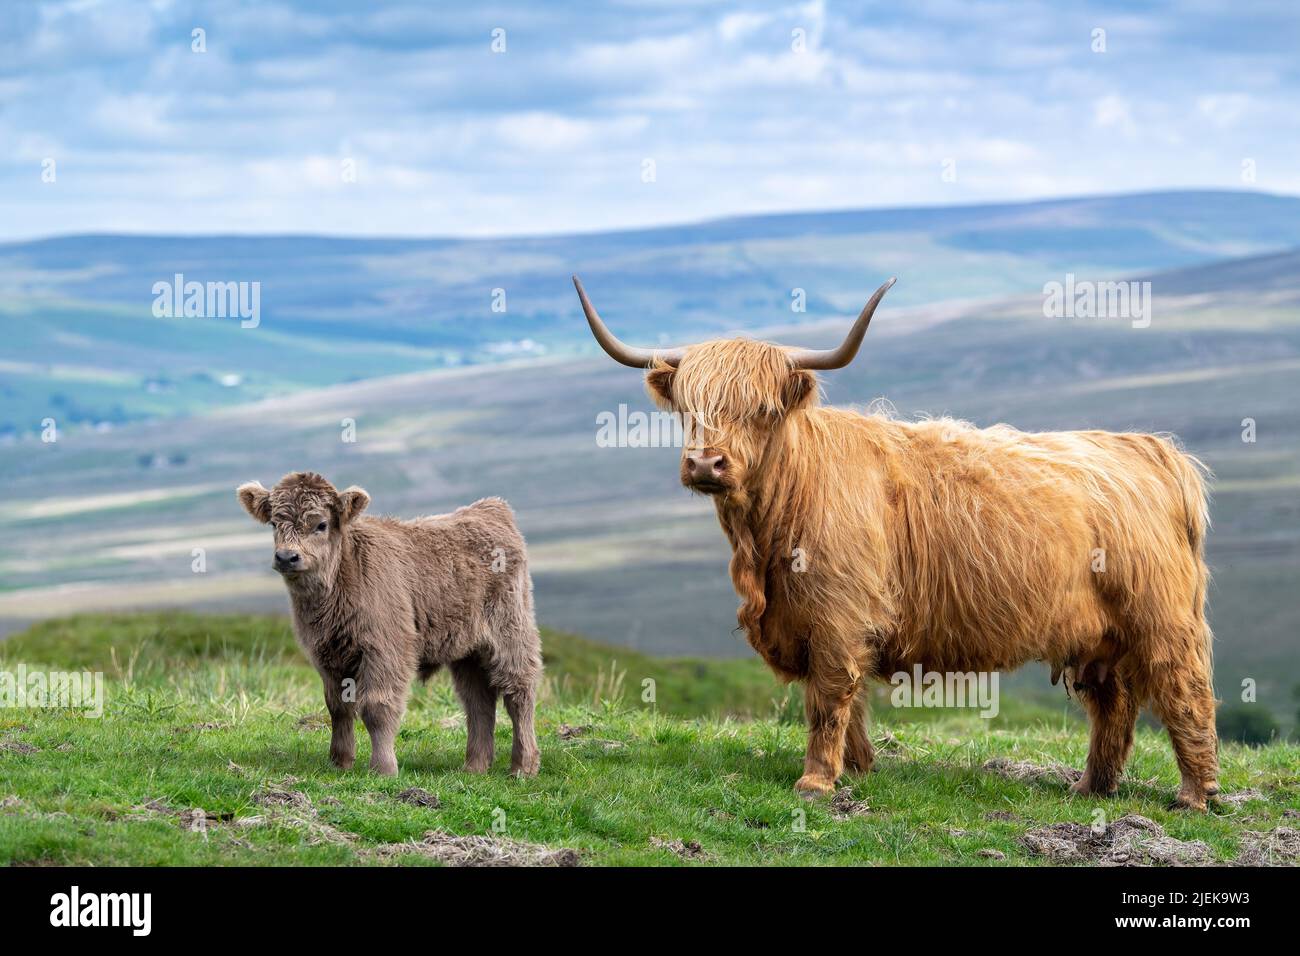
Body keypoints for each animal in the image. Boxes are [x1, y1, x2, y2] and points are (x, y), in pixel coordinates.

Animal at [236, 470, 540, 780]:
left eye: (321, 524)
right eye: (274, 523)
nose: (287, 557)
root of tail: (490, 508)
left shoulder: (385, 650)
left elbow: (377, 708)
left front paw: (383, 768)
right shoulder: (326, 655)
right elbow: (337, 706)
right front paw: (340, 761)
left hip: (510, 632)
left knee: (518, 692)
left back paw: (523, 766)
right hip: (468, 650)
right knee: (478, 700)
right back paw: (474, 766)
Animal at [577, 273, 1216, 811]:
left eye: (761, 409)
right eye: (688, 407)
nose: (705, 464)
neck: (765, 540)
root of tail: (1151, 450)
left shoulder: (838, 613)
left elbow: (830, 695)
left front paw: (816, 782)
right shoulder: (816, 617)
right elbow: (843, 696)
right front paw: (858, 769)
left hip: (1161, 618)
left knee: (1184, 689)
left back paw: (1194, 795)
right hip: (1099, 634)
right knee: (1113, 703)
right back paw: (1091, 788)